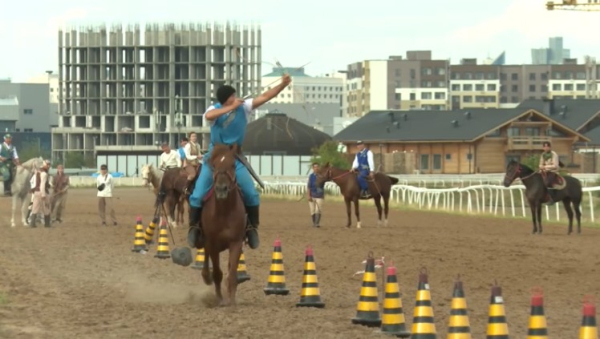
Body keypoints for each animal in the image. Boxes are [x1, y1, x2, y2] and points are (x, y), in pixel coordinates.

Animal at [199, 143, 246, 308]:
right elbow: (217, 273)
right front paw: (219, 299)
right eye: (214, 165)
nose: (221, 189)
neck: (225, 212)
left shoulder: (236, 242)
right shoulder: (212, 243)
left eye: (233, 164)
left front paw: (231, 300)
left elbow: (232, 273)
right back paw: (206, 276)